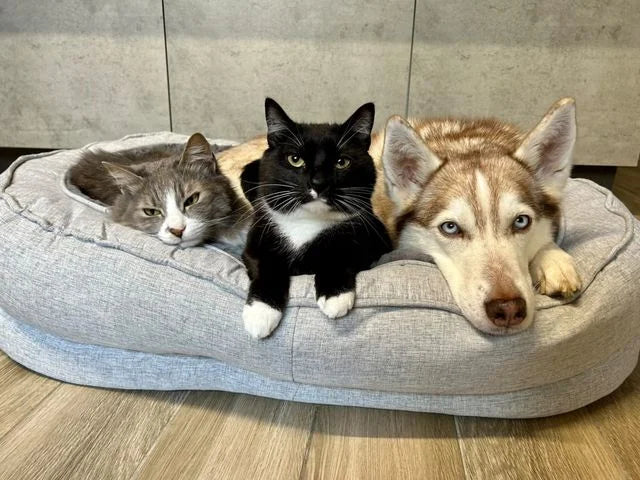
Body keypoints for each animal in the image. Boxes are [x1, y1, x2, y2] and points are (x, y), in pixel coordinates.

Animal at [240, 98, 390, 338]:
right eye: (295, 159)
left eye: (342, 162)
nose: (318, 183)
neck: (307, 221)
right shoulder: (258, 237)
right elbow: (266, 266)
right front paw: (261, 314)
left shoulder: (371, 239)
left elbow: (343, 254)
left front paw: (335, 296)